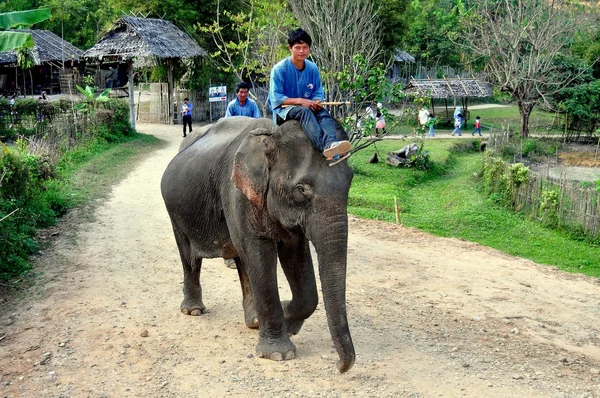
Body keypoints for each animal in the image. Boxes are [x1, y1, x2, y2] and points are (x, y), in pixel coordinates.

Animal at [161, 116, 356, 374]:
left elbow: (295, 255)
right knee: (189, 256)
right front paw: (279, 353)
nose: (340, 367)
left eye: (350, 181)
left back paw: (253, 321)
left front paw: (287, 320)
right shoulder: (238, 194)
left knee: (241, 259)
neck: (271, 135)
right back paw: (193, 310)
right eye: (301, 190)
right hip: (174, 210)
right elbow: (259, 253)